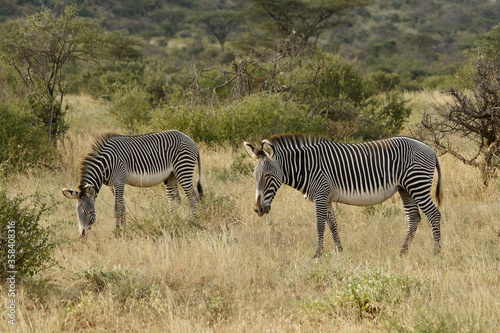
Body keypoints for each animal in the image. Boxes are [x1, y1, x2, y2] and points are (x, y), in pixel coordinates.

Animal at [62, 129, 203, 236]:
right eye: (76, 212)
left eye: (90, 212)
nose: (82, 235)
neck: (106, 164)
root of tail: (190, 139)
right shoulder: (113, 185)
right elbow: (122, 206)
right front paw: (124, 228)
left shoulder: (119, 181)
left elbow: (117, 208)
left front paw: (118, 232)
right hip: (171, 176)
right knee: (174, 200)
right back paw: (171, 222)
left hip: (183, 169)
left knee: (193, 197)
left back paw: (194, 223)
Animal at [244, 134, 444, 255]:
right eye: (254, 176)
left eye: (269, 176)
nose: (258, 209)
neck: (306, 168)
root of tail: (429, 148)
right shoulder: (327, 198)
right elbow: (332, 224)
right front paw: (339, 251)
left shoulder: (321, 195)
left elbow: (320, 225)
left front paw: (318, 255)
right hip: (405, 189)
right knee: (414, 218)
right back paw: (403, 252)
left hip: (417, 184)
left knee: (434, 214)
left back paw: (437, 252)